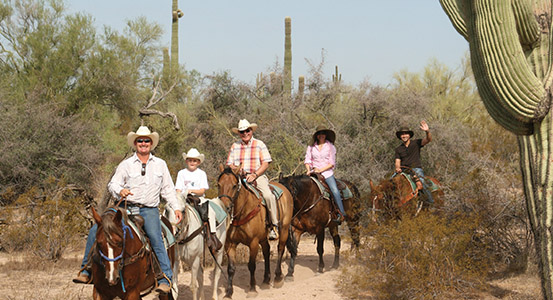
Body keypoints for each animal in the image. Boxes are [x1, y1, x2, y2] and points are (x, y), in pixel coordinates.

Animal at [217, 165, 296, 298]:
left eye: (234, 185)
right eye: (219, 184)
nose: (225, 207)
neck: (243, 212)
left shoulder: (253, 243)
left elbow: (251, 265)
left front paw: (252, 290)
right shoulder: (230, 244)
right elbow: (231, 268)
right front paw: (228, 293)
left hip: (284, 229)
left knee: (280, 249)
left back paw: (277, 278)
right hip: (263, 238)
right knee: (266, 251)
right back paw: (265, 281)